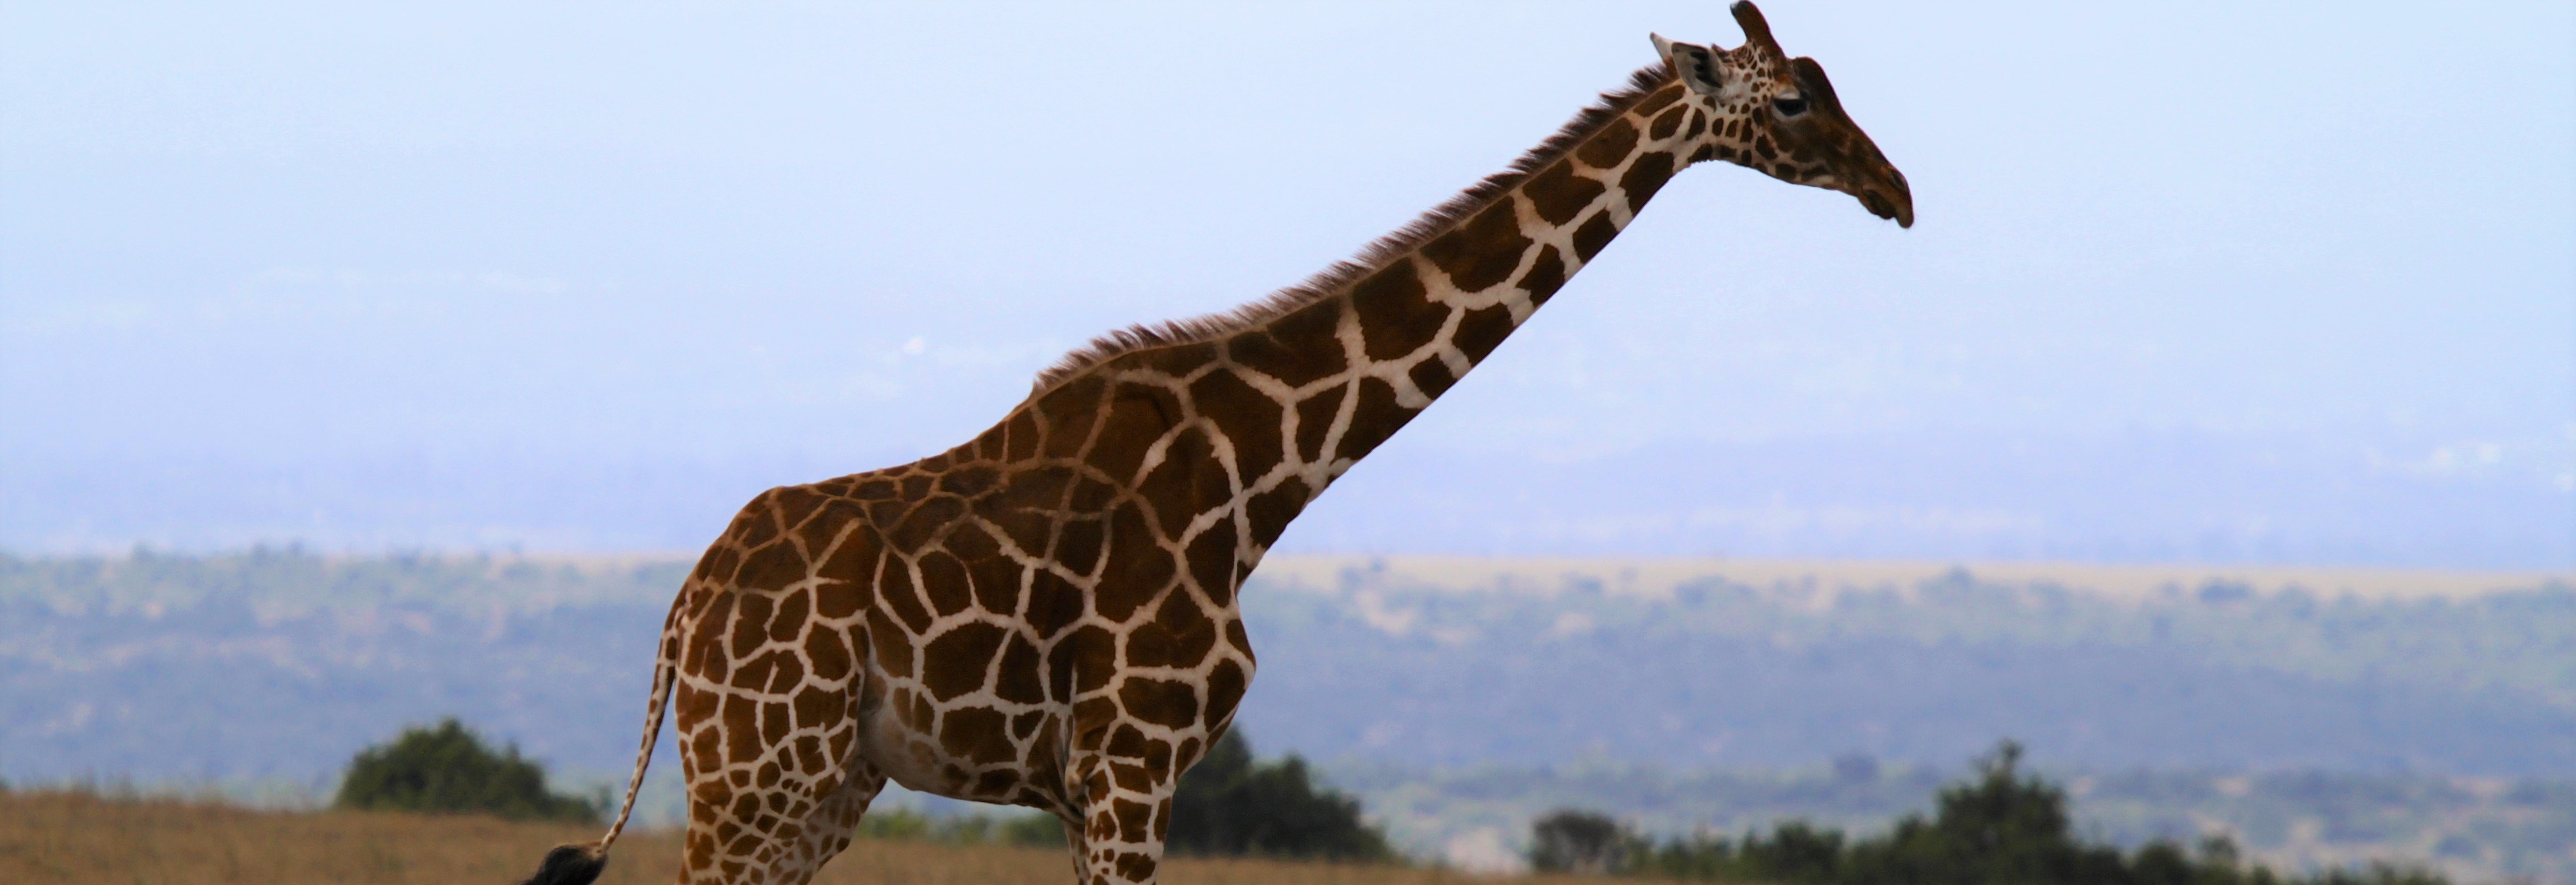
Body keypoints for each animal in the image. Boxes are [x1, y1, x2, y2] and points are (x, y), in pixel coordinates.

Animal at [523, 3, 1906, 882]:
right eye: (1794, 99)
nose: (1894, 189)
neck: (1259, 471)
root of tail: (687, 605)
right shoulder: (1132, 764)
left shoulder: (1096, 787)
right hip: (757, 767)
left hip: (825, 780)